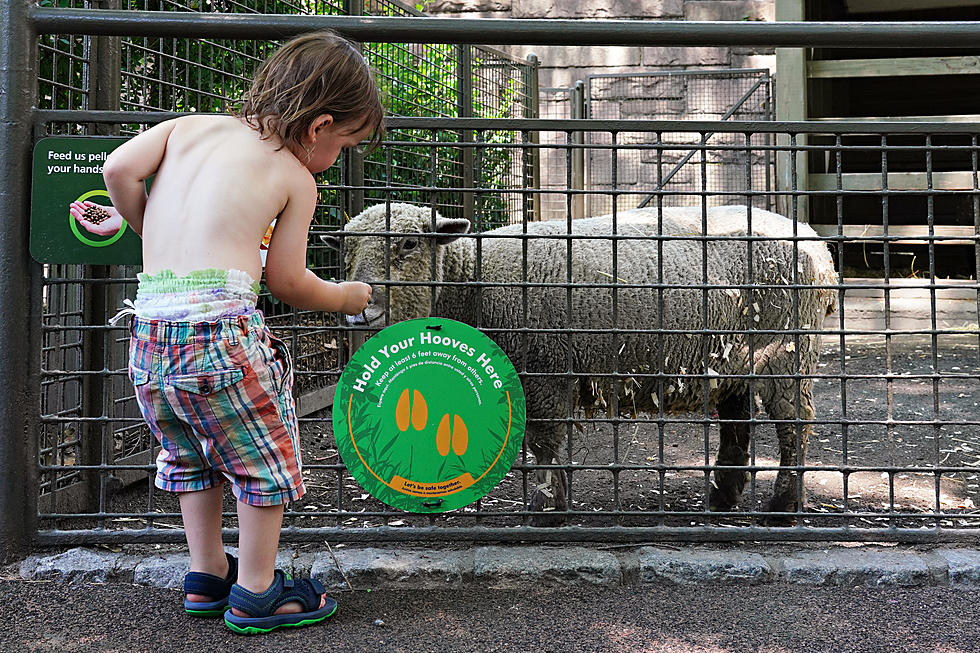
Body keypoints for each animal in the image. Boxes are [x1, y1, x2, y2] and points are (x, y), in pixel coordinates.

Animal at [328, 204, 836, 524]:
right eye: (346, 251)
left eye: (408, 244)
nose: (359, 308)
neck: (473, 282)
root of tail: (818, 247)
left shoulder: (544, 370)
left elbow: (544, 442)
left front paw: (549, 508)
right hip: (734, 359)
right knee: (737, 423)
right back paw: (723, 497)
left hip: (786, 350)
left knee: (794, 425)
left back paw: (782, 506)